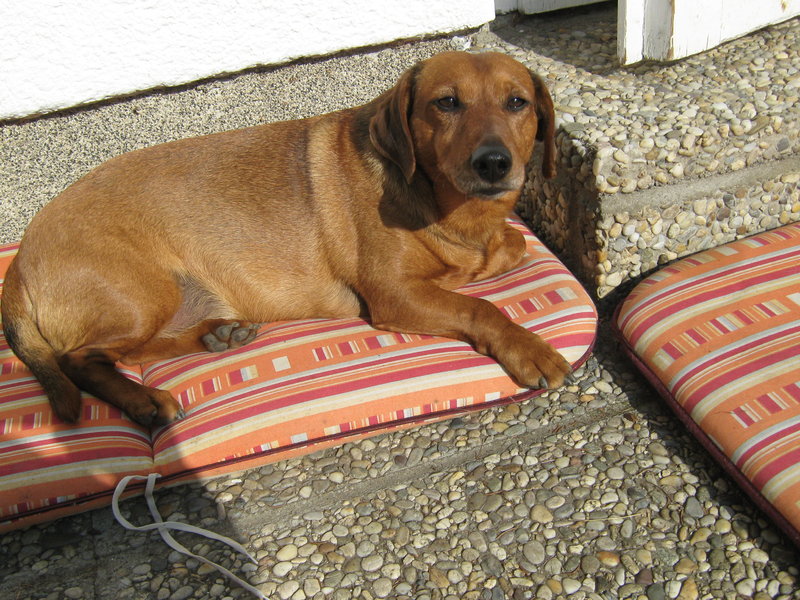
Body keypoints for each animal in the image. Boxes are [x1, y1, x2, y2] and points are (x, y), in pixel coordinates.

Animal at [1, 51, 571, 427]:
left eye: (517, 102)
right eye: (446, 103)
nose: (494, 163)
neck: (450, 207)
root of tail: (19, 263)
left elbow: (512, 247)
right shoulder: (395, 294)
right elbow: (481, 306)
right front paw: (529, 347)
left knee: (130, 351)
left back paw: (216, 335)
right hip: (141, 293)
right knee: (81, 359)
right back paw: (145, 401)